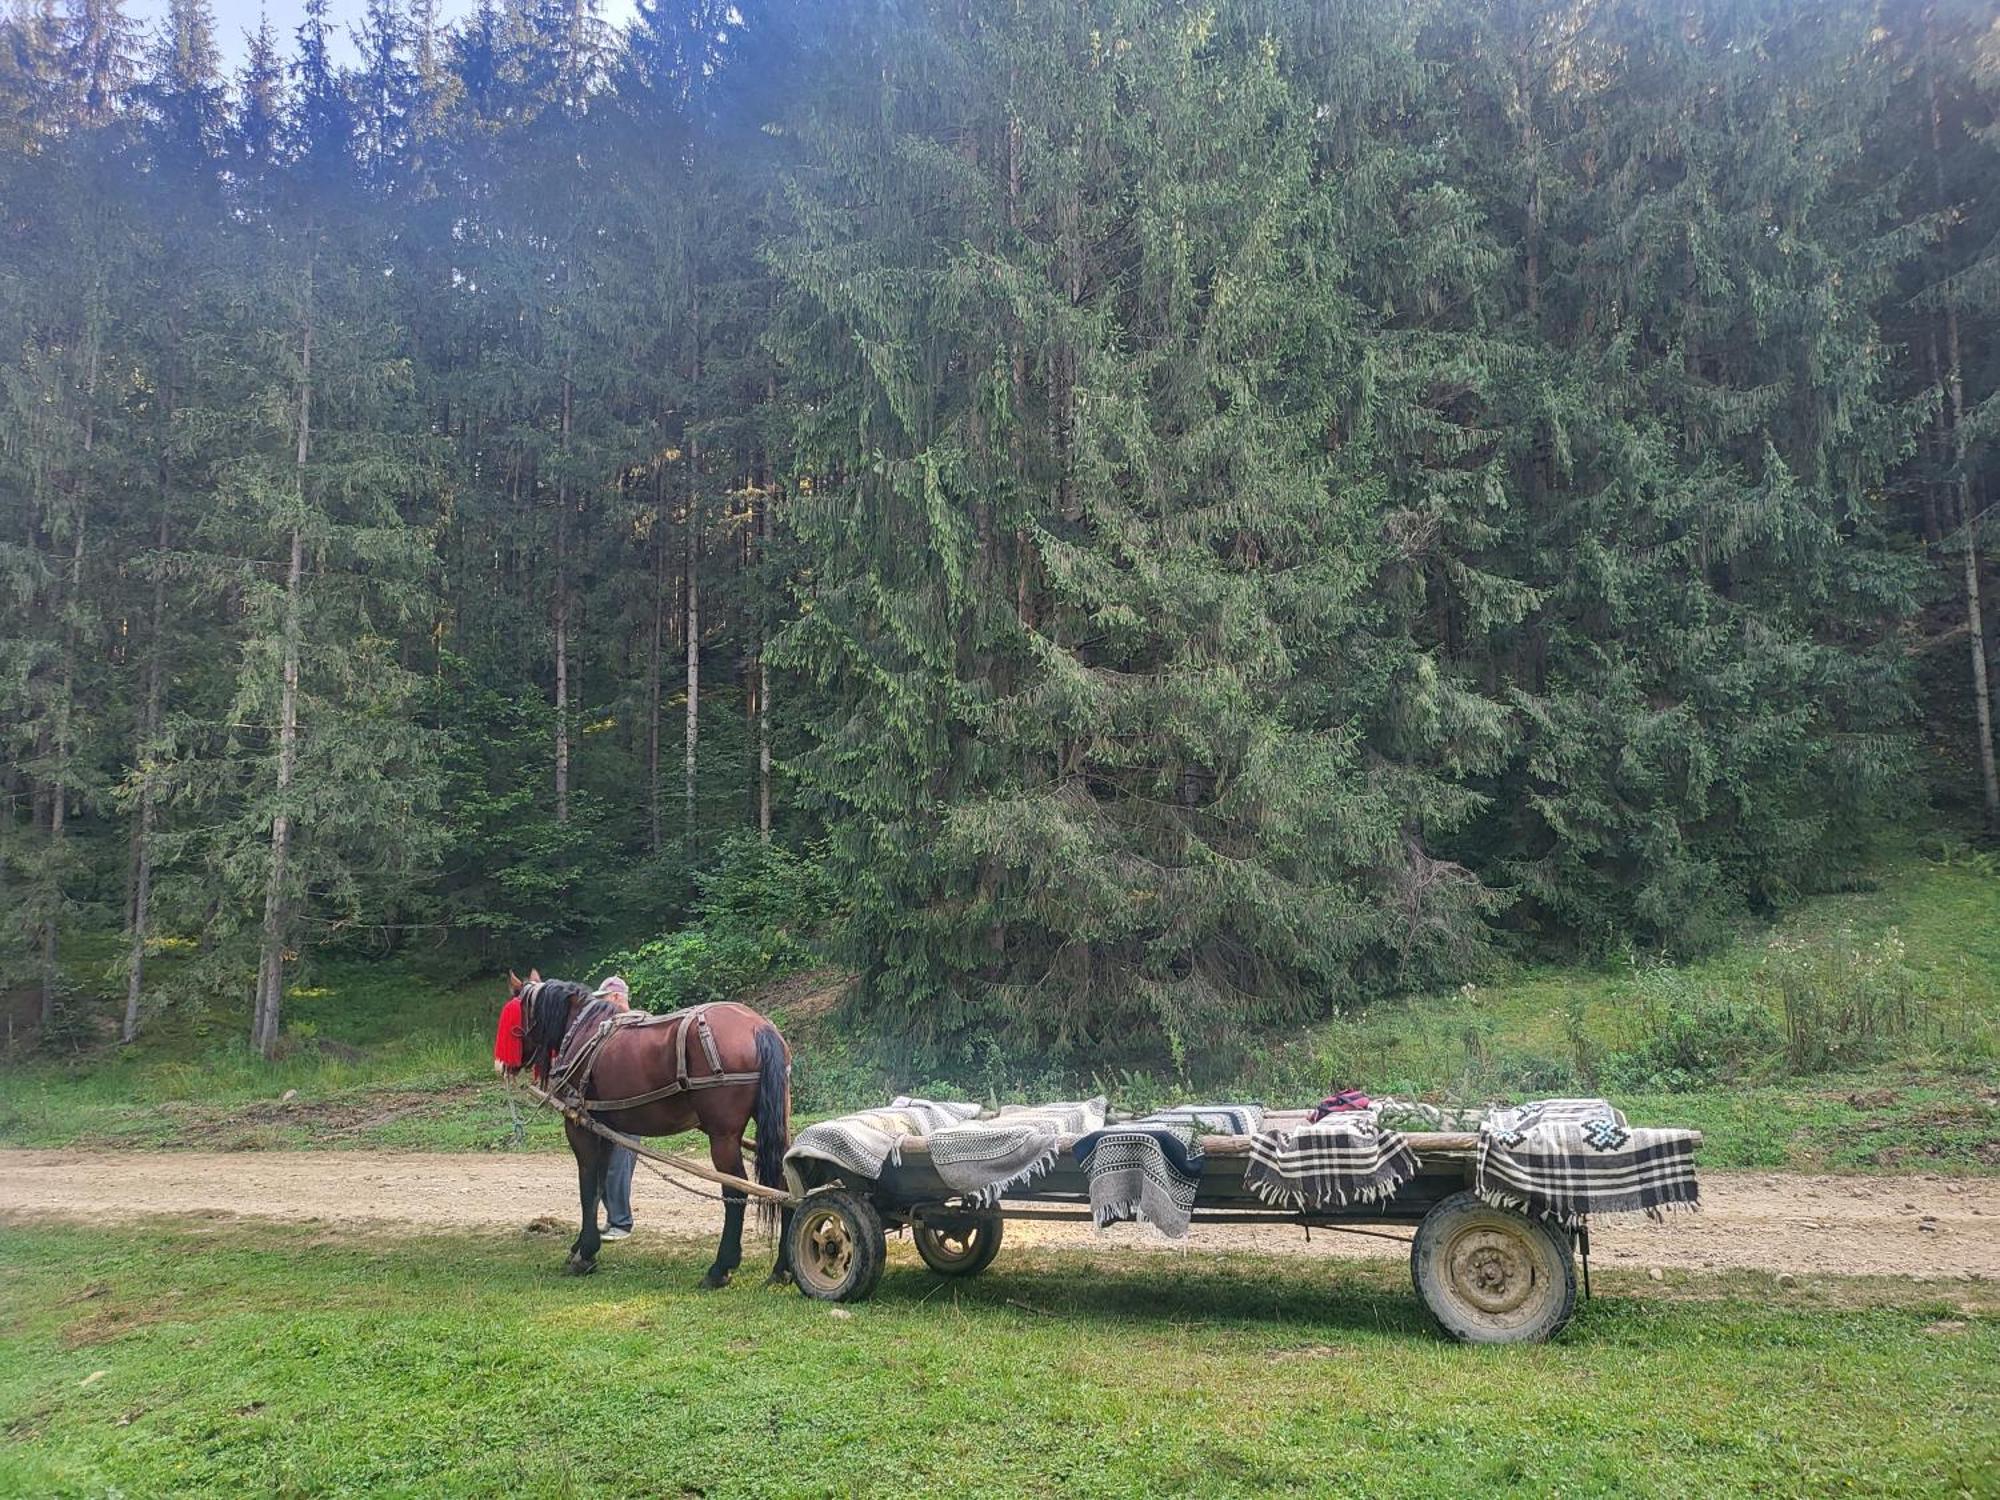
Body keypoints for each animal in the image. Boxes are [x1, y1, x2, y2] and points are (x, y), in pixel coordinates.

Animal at [508, 976, 796, 1296]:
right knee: (786, 1186)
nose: (505, 1065)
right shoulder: (605, 1130)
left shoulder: (580, 1126)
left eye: (515, 1011)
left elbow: (587, 1187)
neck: (584, 1030)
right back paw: (782, 1268)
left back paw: (720, 1269)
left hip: (723, 1137)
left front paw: (584, 1254)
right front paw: (581, 1247)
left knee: (736, 1190)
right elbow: (600, 1184)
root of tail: (759, 1027)